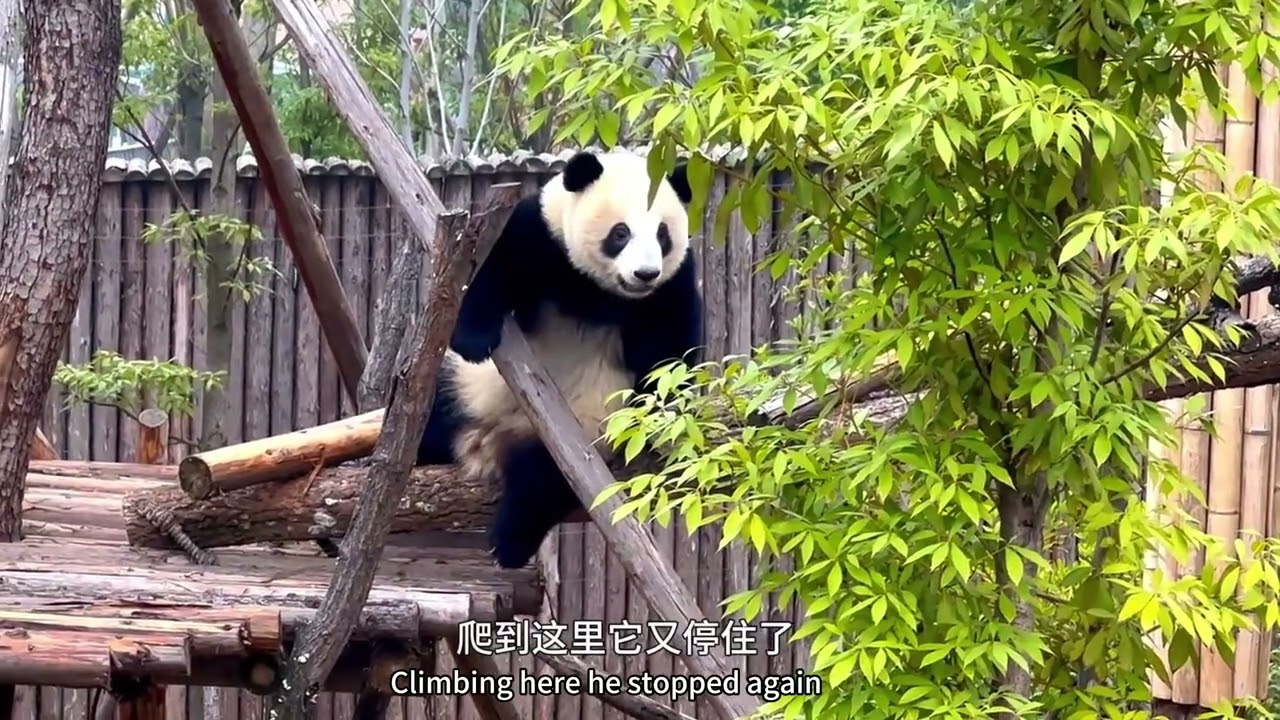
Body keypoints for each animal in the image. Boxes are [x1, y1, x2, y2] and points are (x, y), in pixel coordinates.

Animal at [416, 149, 705, 569]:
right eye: (621, 233)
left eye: (663, 235)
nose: (645, 273)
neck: (598, 290)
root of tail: (485, 439)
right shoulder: (544, 235)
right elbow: (496, 269)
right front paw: (474, 338)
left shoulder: (670, 289)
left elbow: (669, 356)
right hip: (469, 386)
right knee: (435, 408)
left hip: (582, 435)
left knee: (547, 480)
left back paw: (510, 543)